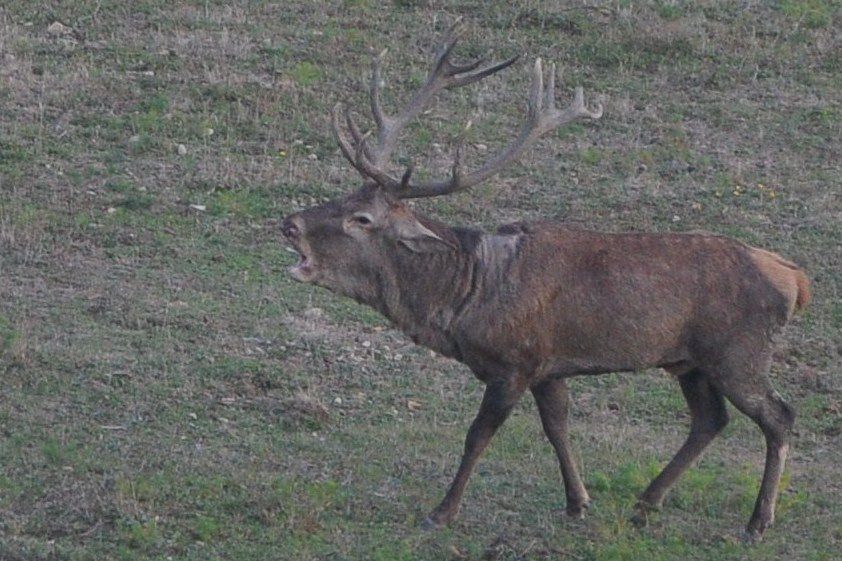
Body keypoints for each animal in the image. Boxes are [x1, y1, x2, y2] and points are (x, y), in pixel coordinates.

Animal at [280, 19, 808, 540]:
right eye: (346, 196)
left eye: (362, 219)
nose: (290, 223)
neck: (466, 296)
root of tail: (796, 278)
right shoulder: (550, 366)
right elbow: (557, 427)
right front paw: (578, 502)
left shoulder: (515, 363)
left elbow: (477, 436)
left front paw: (442, 512)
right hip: (689, 360)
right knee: (710, 419)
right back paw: (645, 503)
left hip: (739, 352)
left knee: (779, 417)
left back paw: (757, 521)